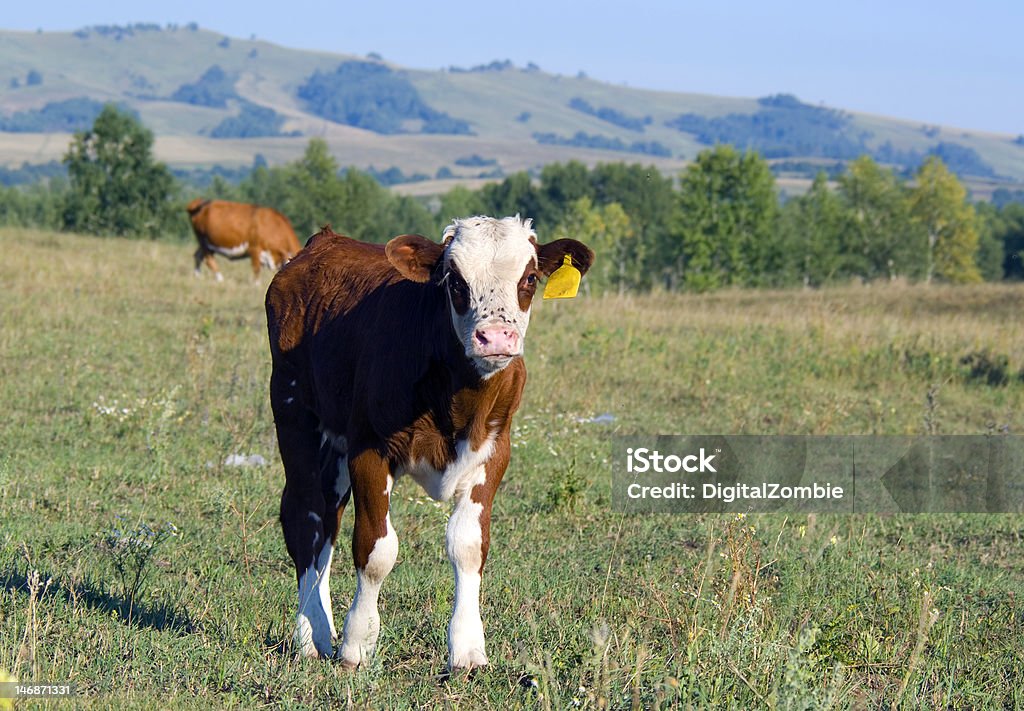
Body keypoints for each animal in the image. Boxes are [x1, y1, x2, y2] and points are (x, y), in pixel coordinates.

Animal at [268, 217, 598, 672]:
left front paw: (467, 649)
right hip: (293, 408)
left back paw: (324, 624)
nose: (496, 337)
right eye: (455, 281)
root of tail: (324, 241)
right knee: (306, 516)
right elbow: (376, 549)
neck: (457, 396)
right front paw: (357, 645)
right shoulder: (369, 448)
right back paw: (310, 635)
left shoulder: (494, 453)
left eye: (529, 278)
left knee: (329, 524)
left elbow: (469, 546)